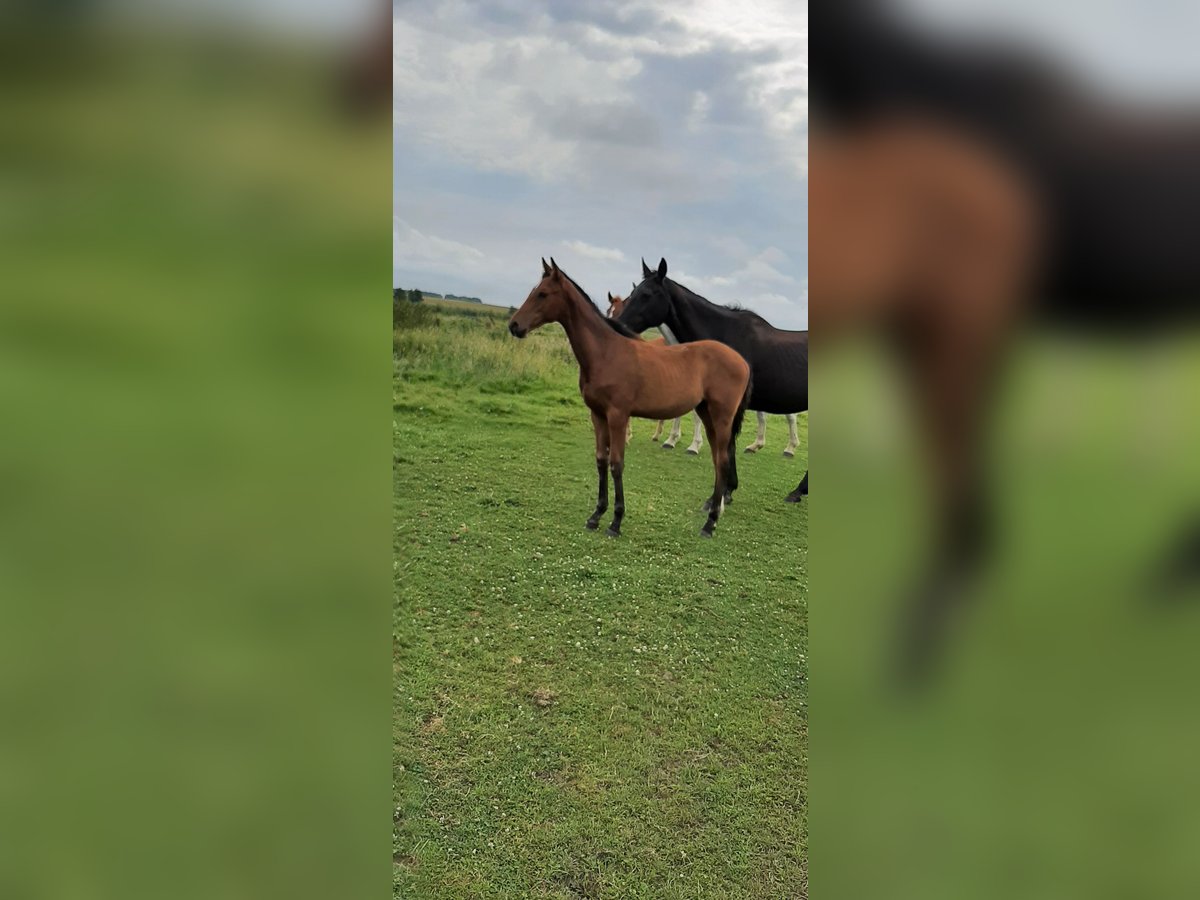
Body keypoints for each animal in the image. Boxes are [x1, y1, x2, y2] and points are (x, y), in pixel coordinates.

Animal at [508, 256, 748, 540]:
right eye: (534, 291)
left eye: (543, 294)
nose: (514, 325)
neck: (605, 352)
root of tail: (742, 361)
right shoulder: (598, 415)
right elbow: (601, 461)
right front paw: (596, 515)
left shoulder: (618, 415)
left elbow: (616, 464)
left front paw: (616, 521)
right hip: (706, 413)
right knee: (717, 460)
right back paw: (713, 513)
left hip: (722, 417)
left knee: (722, 460)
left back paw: (710, 523)